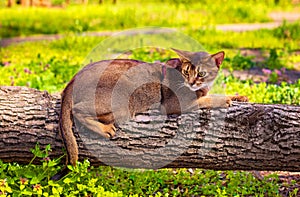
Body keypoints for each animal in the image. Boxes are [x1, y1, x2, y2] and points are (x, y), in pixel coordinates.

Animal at [52, 48, 248, 179]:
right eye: (186, 72)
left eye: (201, 73)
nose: (191, 82)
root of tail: (73, 80)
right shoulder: (174, 104)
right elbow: (207, 100)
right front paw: (225, 100)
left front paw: (240, 96)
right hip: (122, 102)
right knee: (77, 111)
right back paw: (105, 129)